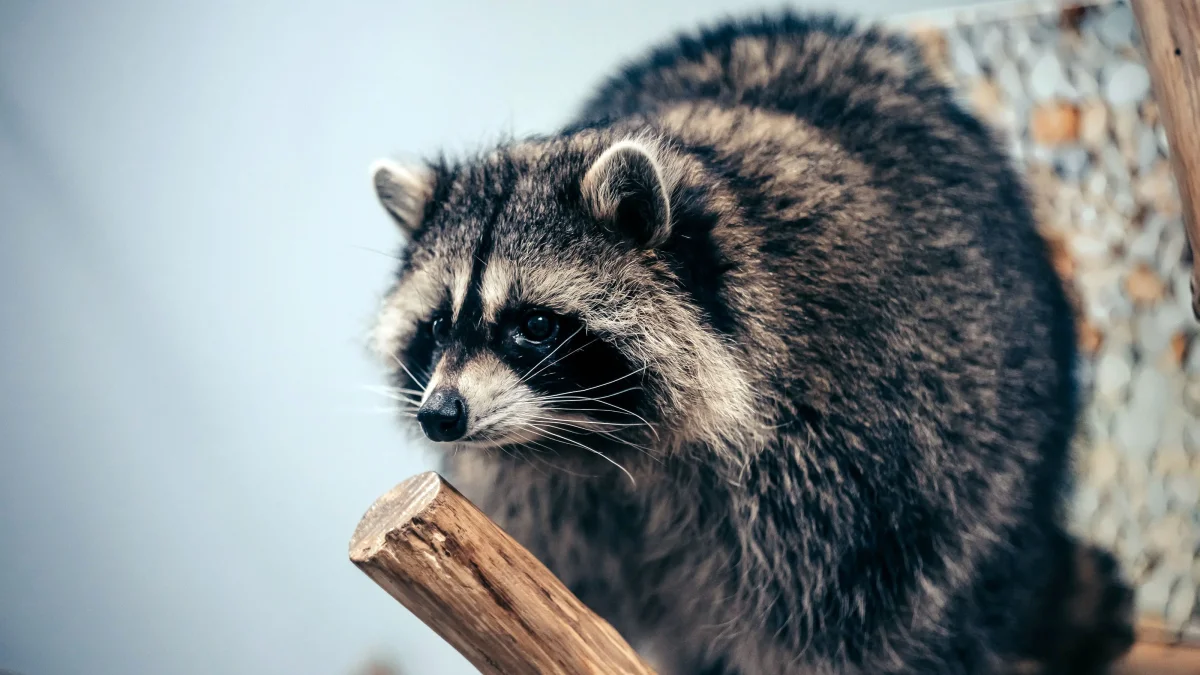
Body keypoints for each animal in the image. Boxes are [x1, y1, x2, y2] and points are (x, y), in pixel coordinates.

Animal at [367, 13, 1134, 675]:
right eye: (438, 327)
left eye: (534, 326)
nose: (441, 415)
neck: (607, 437)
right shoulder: (547, 490)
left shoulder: (846, 456)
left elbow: (846, 625)